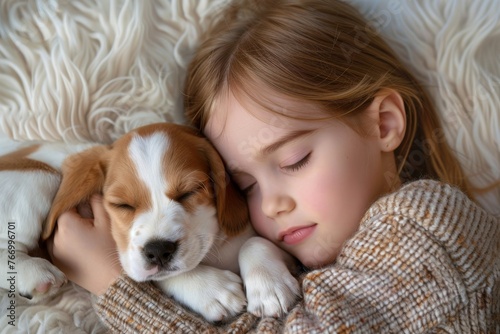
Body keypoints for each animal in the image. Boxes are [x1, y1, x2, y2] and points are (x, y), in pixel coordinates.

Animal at [41, 123, 298, 320]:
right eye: (123, 205)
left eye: (189, 192)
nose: (157, 250)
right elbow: (165, 276)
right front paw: (212, 289)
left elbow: (253, 242)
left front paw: (268, 286)